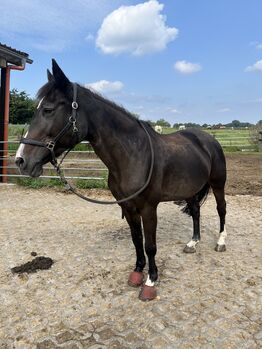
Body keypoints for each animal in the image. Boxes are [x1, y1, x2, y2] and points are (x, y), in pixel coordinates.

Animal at [15, 59, 226, 300]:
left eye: (48, 110)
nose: (21, 160)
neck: (134, 155)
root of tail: (208, 139)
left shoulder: (148, 208)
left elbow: (150, 245)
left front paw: (150, 282)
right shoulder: (128, 206)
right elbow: (136, 240)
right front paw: (137, 273)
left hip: (218, 184)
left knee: (221, 209)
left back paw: (221, 242)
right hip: (190, 189)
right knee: (196, 211)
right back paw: (193, 242)